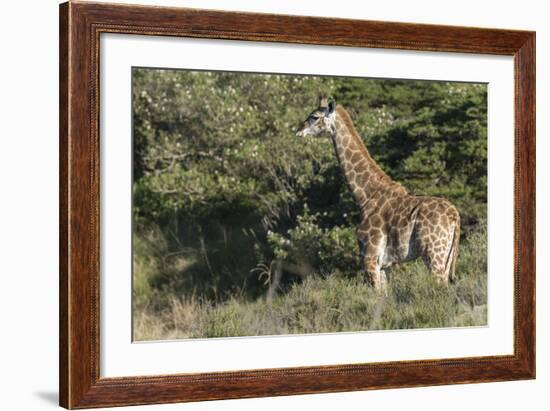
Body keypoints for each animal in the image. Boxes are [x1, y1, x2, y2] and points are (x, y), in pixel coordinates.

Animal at [298, 96, 462, 292]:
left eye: (314, 117)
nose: (298, 131)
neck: (365, 196)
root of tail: (455, 216)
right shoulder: (385, 265)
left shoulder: (370, 258)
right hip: (446, 256)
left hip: (434, 253)